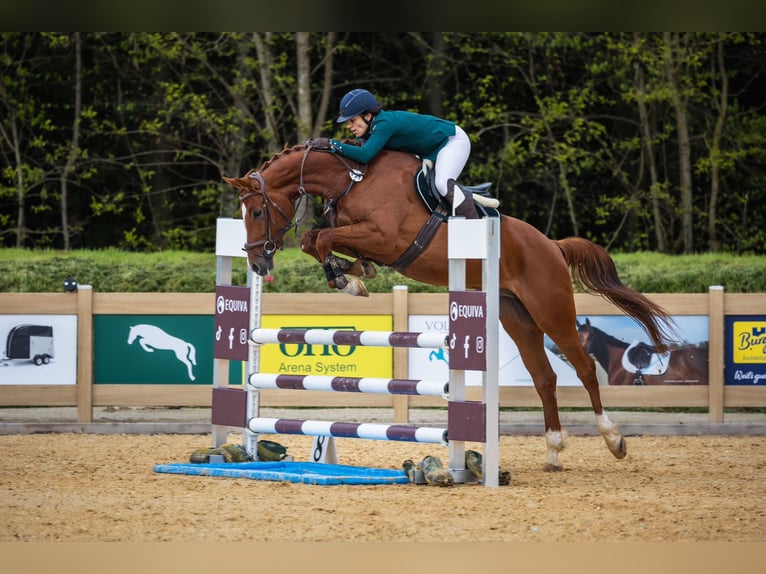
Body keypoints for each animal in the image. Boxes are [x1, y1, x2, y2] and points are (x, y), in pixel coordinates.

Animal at [224, 144, 680, 472]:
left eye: (259, 210)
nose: (257, 264)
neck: (351, 179)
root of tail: (552, 245)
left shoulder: (384, 237)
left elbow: (320, 239)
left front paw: (347, 277)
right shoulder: (361, 235)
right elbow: (315, 239)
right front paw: (351, 273)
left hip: (551, 310)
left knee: (583, 367)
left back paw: (613, 439)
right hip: (517, 317)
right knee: (544, 377)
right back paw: (553, 451)